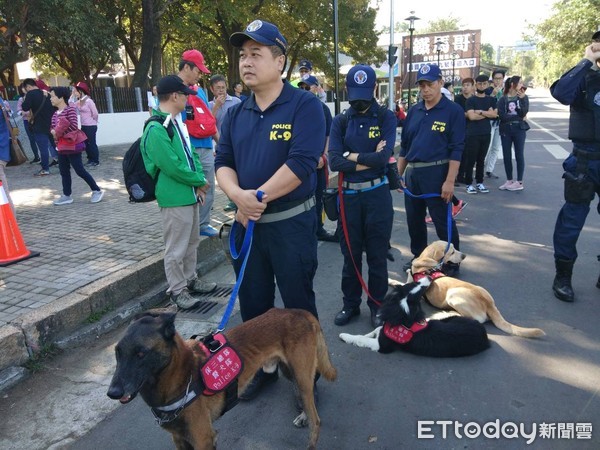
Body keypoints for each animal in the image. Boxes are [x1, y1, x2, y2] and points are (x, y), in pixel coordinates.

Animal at [108, 308, 338, 448]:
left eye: (140, 353)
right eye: (117, 353)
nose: (112, 393)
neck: (181, 374)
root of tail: (299, 312)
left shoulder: (203, 439)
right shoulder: (179, 439)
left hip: (301, 374)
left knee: (316, 419)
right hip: (291, 371)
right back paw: (304, 414)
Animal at [408, 241, 544, 340]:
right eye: (452, 252)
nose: (464, 256)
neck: (426, 261)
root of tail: (489, 305)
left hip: (453, 295)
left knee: (474, 319)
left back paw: (447, 313)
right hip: (481, 288)